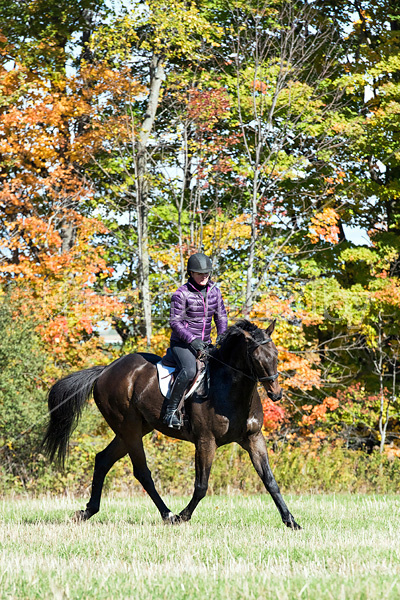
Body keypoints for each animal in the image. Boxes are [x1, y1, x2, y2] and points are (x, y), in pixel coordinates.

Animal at [43, 318, 300, 528]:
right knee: (142, 472)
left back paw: (86, 512)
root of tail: (106, 370)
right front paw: (183, 516)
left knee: (103, 459)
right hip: (129, 429)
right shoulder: (206, 442)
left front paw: (291, 521)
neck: (231, 389)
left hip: (134, 430)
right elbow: (201, 486)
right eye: (256, 358)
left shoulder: (253, 439)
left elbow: (270, 481)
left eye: (276, 354)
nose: (276, 394)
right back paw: (168, 515)